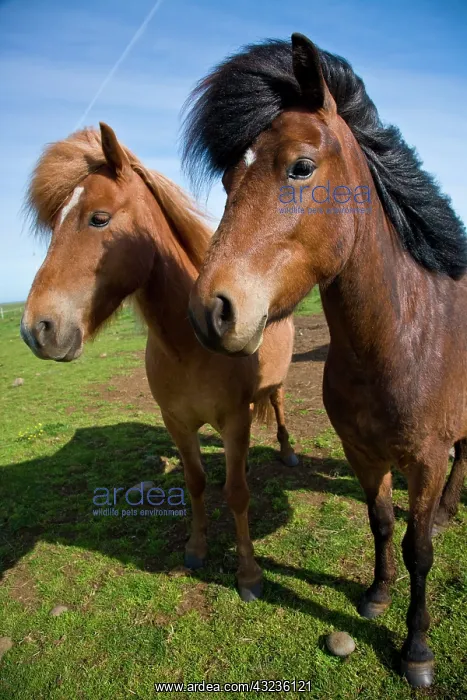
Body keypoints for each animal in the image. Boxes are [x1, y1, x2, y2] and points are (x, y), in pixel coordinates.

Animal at [20, 122, 298, 602]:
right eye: (54, 225)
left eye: (98, 218)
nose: (36, 329)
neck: (190, 347)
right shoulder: (177, 423)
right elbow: (196, 482)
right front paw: (196, 549)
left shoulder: (234, 421)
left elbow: (237, 493)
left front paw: (248, 574)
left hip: (275, 386)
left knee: (278, 406)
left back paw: (286, 451)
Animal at [181, 34, 467, 687]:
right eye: (230, 177)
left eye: (301, 167)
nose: (211, 312)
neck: (399, 343)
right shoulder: (362, 453)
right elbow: (382, 524)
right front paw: (377, 596)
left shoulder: (425, 459)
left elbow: (419, 550)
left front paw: (416, 649)